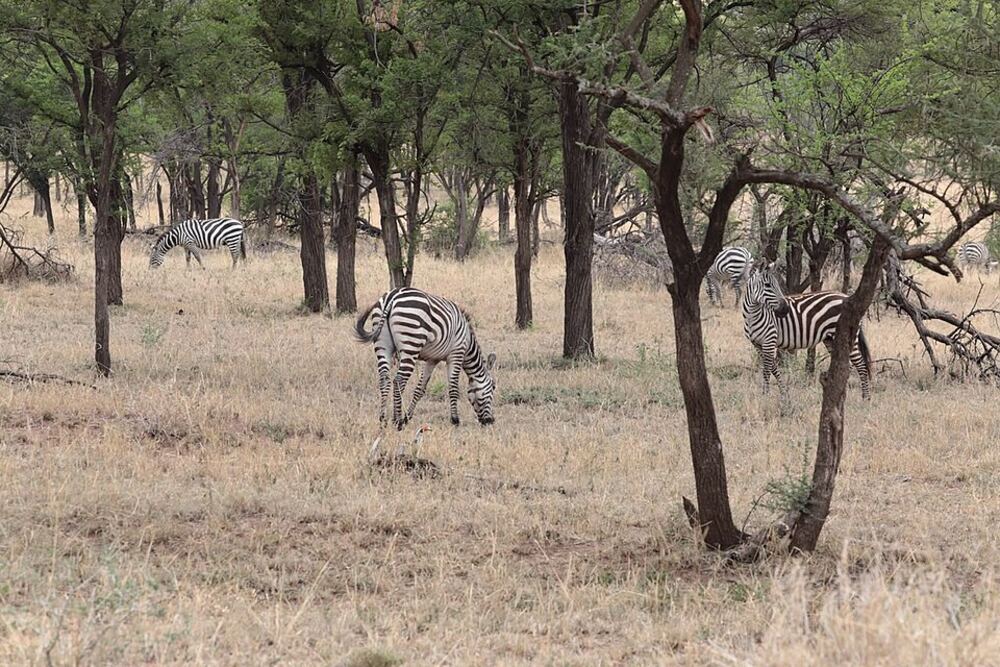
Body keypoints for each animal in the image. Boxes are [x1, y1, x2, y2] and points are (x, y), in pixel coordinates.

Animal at [354, 287, 497, 429]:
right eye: (493, 387)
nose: (490, 421)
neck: (468, 343)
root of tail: (392, 296)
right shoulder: (456, 354)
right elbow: (453, 388)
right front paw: (455, 420)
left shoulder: (433, 360)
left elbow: (420, 389)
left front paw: (407, 417)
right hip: (411, 344)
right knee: (399, 380)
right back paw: (397, 421)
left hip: (382, 344)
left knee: (384, 379)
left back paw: (383, 420)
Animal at [741, 262, 872, 399]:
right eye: (767, 285)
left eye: (776, 285)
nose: (785, 309)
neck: (751, 316)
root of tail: (846, 296)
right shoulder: (757, 344)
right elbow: (773, 368)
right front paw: (783, 391)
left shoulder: (769, 340)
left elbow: (767, 369)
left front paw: (765, 394)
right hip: (831, 339)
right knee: (846, 365)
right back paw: (840, 391)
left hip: (849, 336)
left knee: (861, 365)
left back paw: (865, 398)